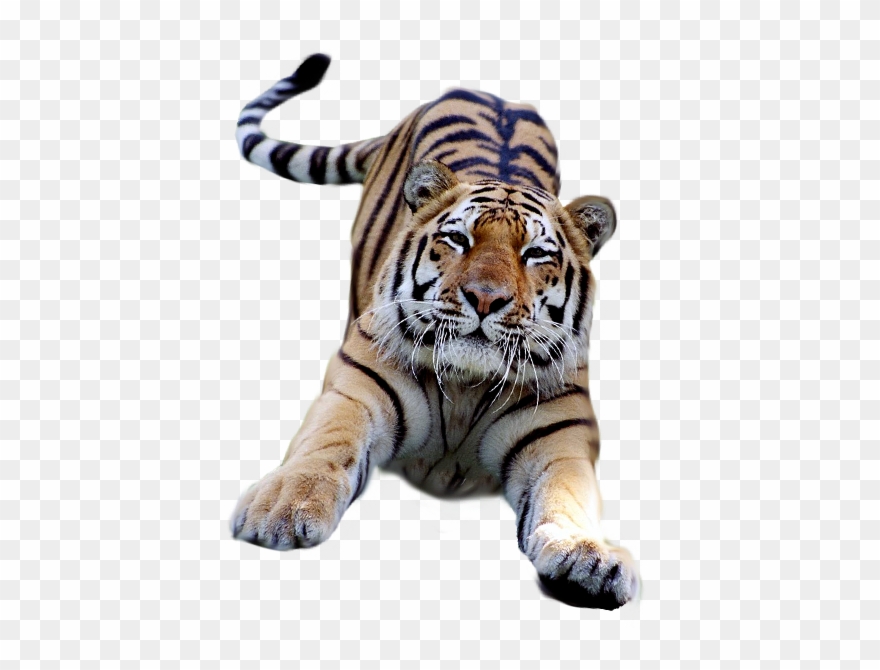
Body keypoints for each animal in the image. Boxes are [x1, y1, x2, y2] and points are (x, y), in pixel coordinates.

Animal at [230, 53, 638, 609]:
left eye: (535, 254)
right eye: (458, 239)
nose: (486, 298)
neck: (465, 385)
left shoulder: (561, 438)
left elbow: (568, 495)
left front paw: (588, 554)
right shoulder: (356, 392)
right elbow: (323, 449)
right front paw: (280, 510)